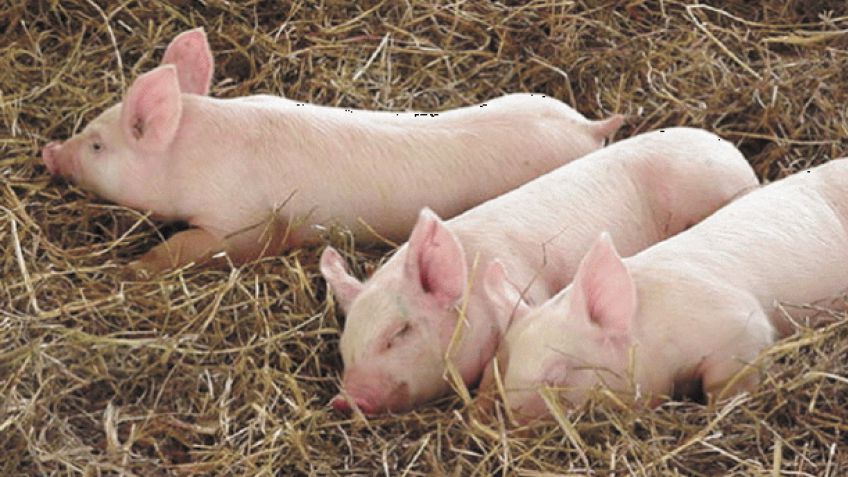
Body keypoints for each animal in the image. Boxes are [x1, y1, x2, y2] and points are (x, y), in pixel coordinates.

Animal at [40, 28, 625, 274]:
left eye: (97, 144)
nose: (50, 150)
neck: (196, 150)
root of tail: (591, 126)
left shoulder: (242, 223)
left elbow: (195, 247)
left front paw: (130, 271)